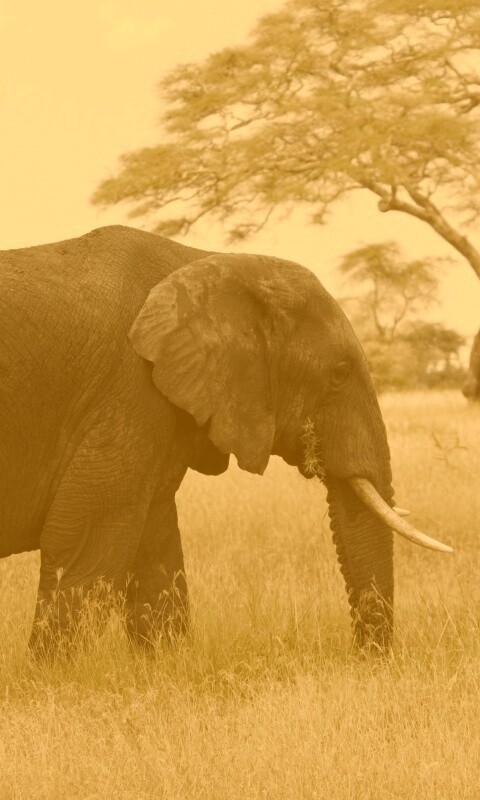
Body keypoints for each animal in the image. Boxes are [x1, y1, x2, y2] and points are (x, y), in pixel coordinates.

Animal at [0, 225, 451, 655]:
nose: (365, 659)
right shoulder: (128, 392)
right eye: (339, 374)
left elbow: (155, 549)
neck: (209, 262)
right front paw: (54, 672)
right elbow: (86, 543)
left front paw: (165, 663)